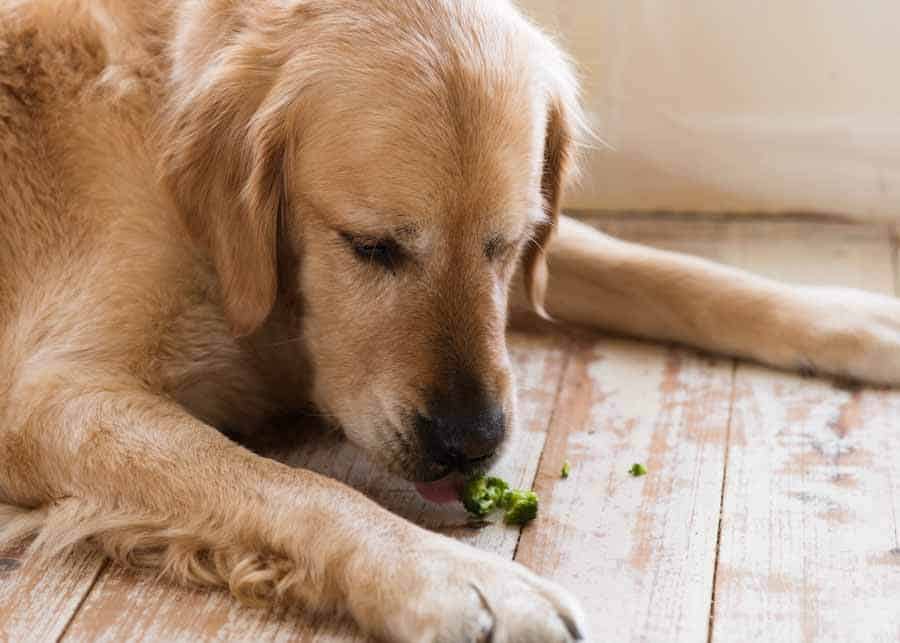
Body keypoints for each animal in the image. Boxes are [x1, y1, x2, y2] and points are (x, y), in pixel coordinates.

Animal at [1, 0, 900, 640]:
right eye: (370, 246)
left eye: (508, 242)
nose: (470, 442)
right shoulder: (48, 400)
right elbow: (289, 484)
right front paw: (457, 577)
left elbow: (655, 265)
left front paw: (848, 316)